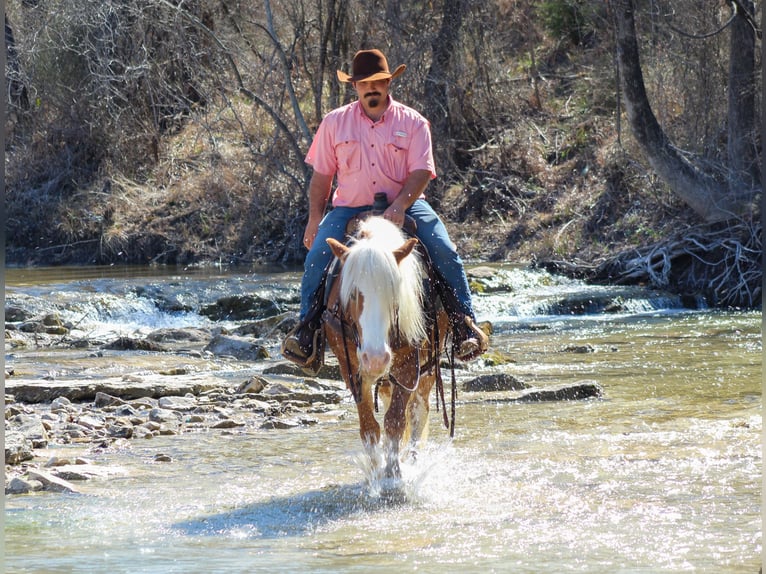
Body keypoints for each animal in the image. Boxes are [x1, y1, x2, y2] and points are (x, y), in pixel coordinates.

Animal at [320, 216, 452, 482]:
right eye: (352, 295)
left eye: (394, 293)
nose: (376, 359)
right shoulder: (351, 370)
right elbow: (369, 427)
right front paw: (376, 472)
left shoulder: (409, 368)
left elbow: (395, 421)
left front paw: (393, 476)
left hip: (428, 368)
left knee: (418, 412)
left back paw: (411, 460)